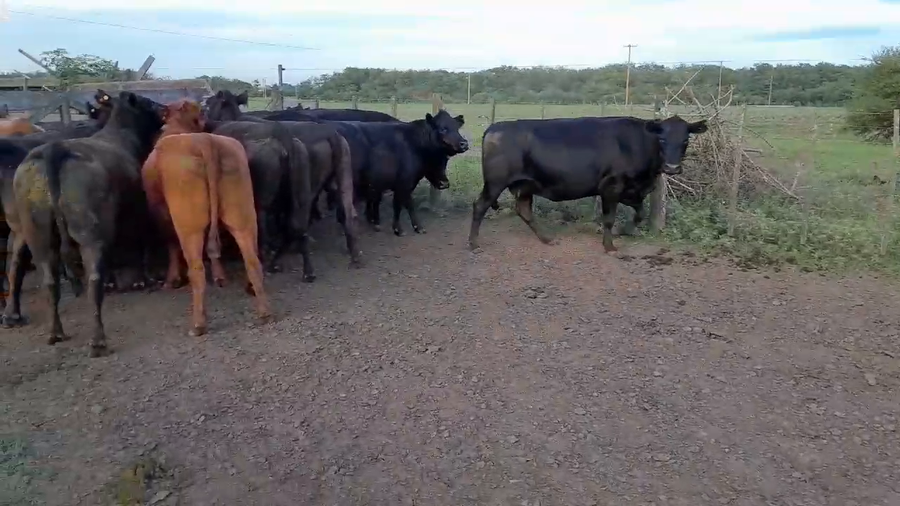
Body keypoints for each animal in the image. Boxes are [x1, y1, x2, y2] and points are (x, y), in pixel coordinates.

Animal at [12, 90, 164, 357]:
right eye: (148, 102)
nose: (164, 110)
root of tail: (55, 148)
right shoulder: (136, 211)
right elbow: (136, 246)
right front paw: (140, 280)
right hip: (91, 232)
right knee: (94, 280)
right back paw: (98, 340)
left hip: (38, 233)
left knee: (49, 281)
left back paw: (56, 333)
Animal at [142, 100, 271, 336]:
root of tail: (204, 141)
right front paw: (220, 276)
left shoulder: (160, 213)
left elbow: (171, 245)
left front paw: (171, 280)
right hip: (242, 213)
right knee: (252, 259)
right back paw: (264, 312)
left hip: (188, 222)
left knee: (197, 268)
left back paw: (198, 324)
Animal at [467, 115, 708, 252]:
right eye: (662, 139)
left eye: (685, 140)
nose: (672, 168)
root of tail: (494, 127)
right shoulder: (611, 186)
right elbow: (609, 218)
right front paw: (609, 246)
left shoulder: (631, 190)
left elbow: (640, 212)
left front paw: (626, 230)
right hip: (495, 182)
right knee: (479, 206)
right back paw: (473, 244)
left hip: (525, 184)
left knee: (524, 210)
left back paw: (547, 239)